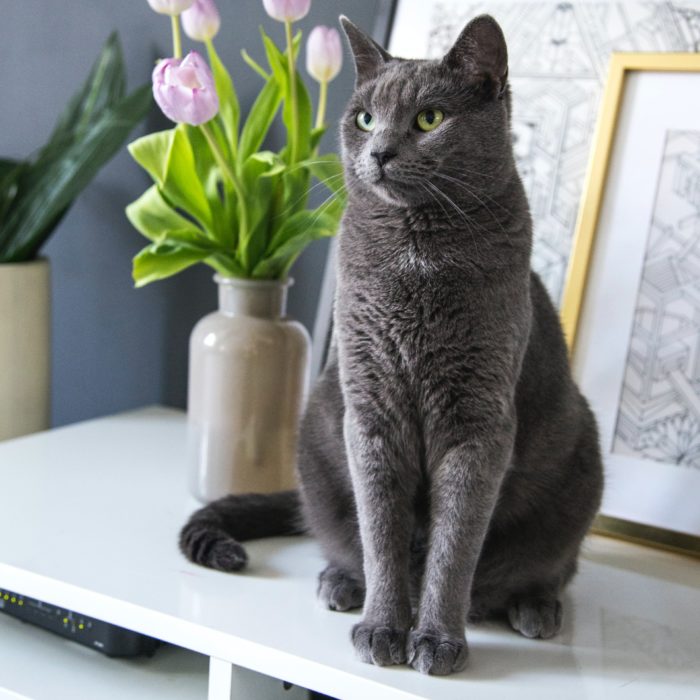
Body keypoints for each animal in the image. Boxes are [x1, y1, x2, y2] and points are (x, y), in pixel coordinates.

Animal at [179, 13, 600, 676]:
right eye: (364, 119)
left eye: (429, 118)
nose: (378, 152)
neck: (414, 254)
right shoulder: (370, 407)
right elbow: (381, 532)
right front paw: (384, 626)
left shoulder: (478, 422)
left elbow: (454, 546)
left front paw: (437, 639)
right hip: (319, 432)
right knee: (341, 537)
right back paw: (340, 582)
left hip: (580, 458)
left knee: (554, 565)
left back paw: (534, 606)